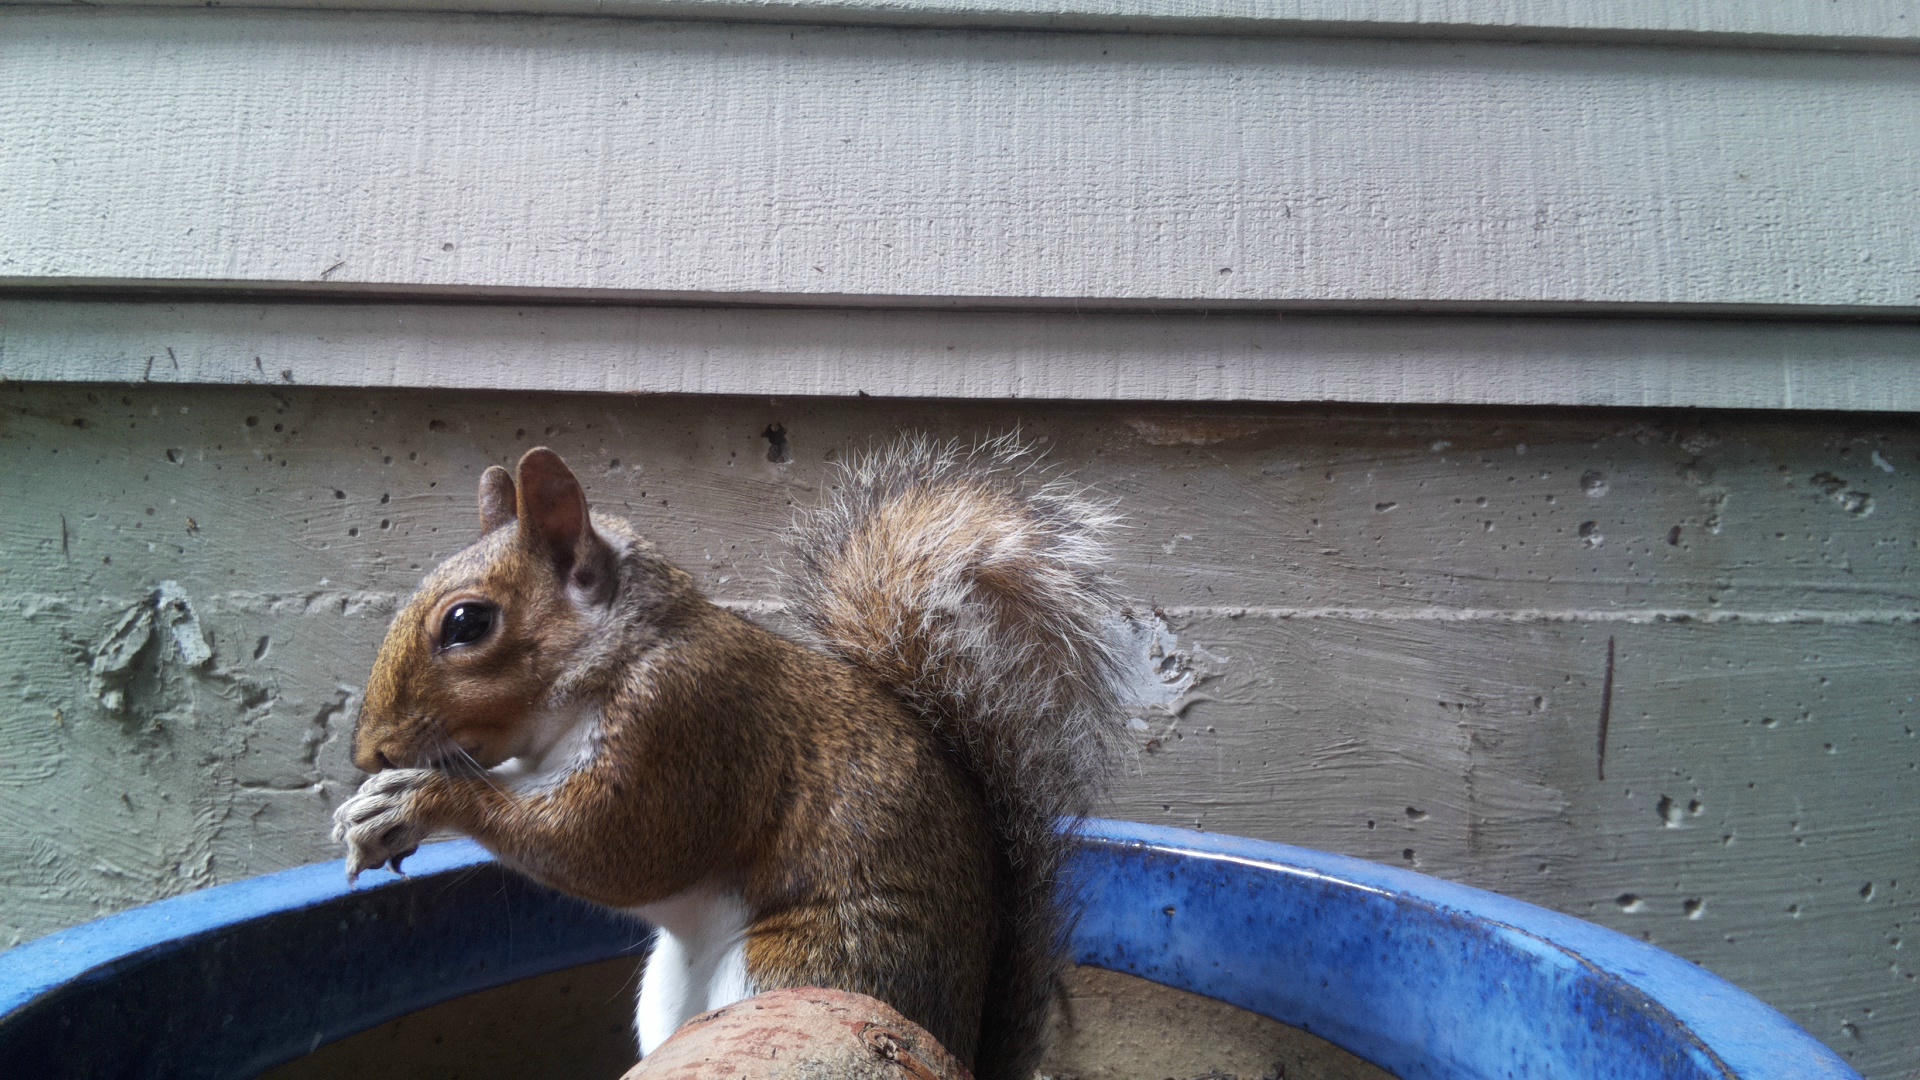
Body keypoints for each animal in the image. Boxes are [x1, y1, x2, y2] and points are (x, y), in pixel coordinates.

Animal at [331, 435, 1130, 1080]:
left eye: (468, 623)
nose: (369, 748)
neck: (622, 654)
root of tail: (958, 1038)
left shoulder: (684, 728)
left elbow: (607, 848)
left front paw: (418, 799)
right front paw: (375, 807)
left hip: (801, 969)